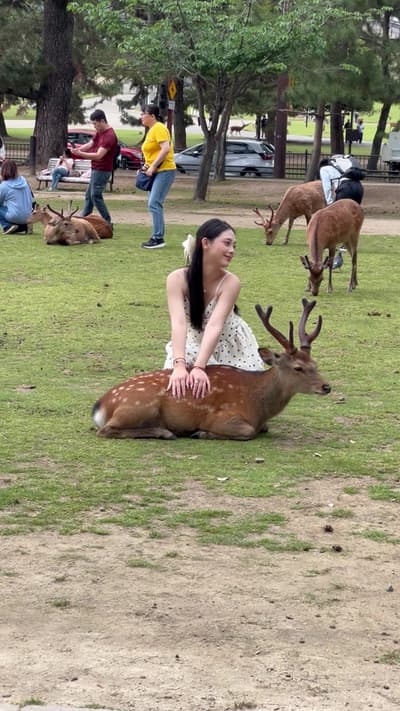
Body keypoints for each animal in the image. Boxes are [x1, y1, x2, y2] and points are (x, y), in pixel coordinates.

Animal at [92, 298, 331, 441]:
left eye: (315, 364)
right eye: (298, 368)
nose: (326, 387)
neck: (258, 405)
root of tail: (102, 404)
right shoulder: (224, 417)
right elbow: (248, 431)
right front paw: (201, 433)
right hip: (140, 406)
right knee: (106, 430)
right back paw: (165, 432)